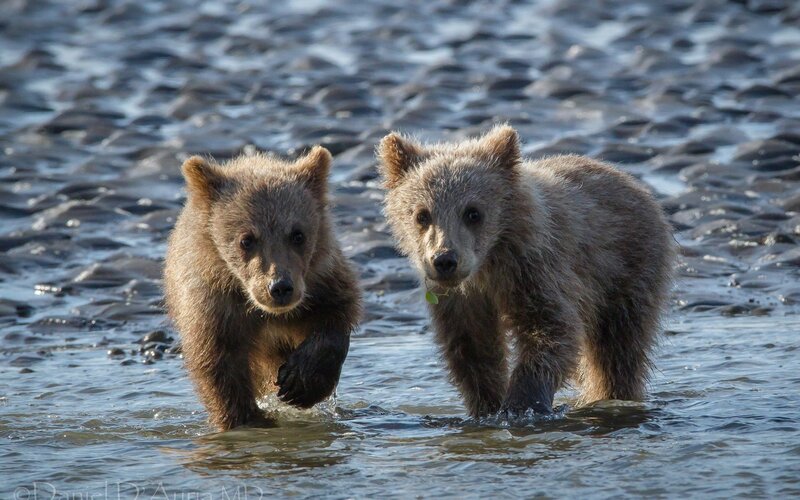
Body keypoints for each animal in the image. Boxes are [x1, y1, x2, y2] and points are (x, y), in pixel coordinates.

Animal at [164, 146, 361, 431]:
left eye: (298, 234)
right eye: (246, 239)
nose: (280, 287)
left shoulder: (322, 279)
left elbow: (336, 314)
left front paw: (301, 383)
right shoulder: (214, 303)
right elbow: (217, 362)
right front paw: (248, 419)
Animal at [377, 125, 674, 418]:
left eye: (473, 212)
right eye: (422, 215)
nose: (444, 260)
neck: (488, 265)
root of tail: (632, 181)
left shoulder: (536, 269)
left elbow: (551, 328)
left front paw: (520, 405)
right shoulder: (459, 299)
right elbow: (472, 346)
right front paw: (487, 406)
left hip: (626, 269)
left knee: (618, 349)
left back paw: (612, 396)